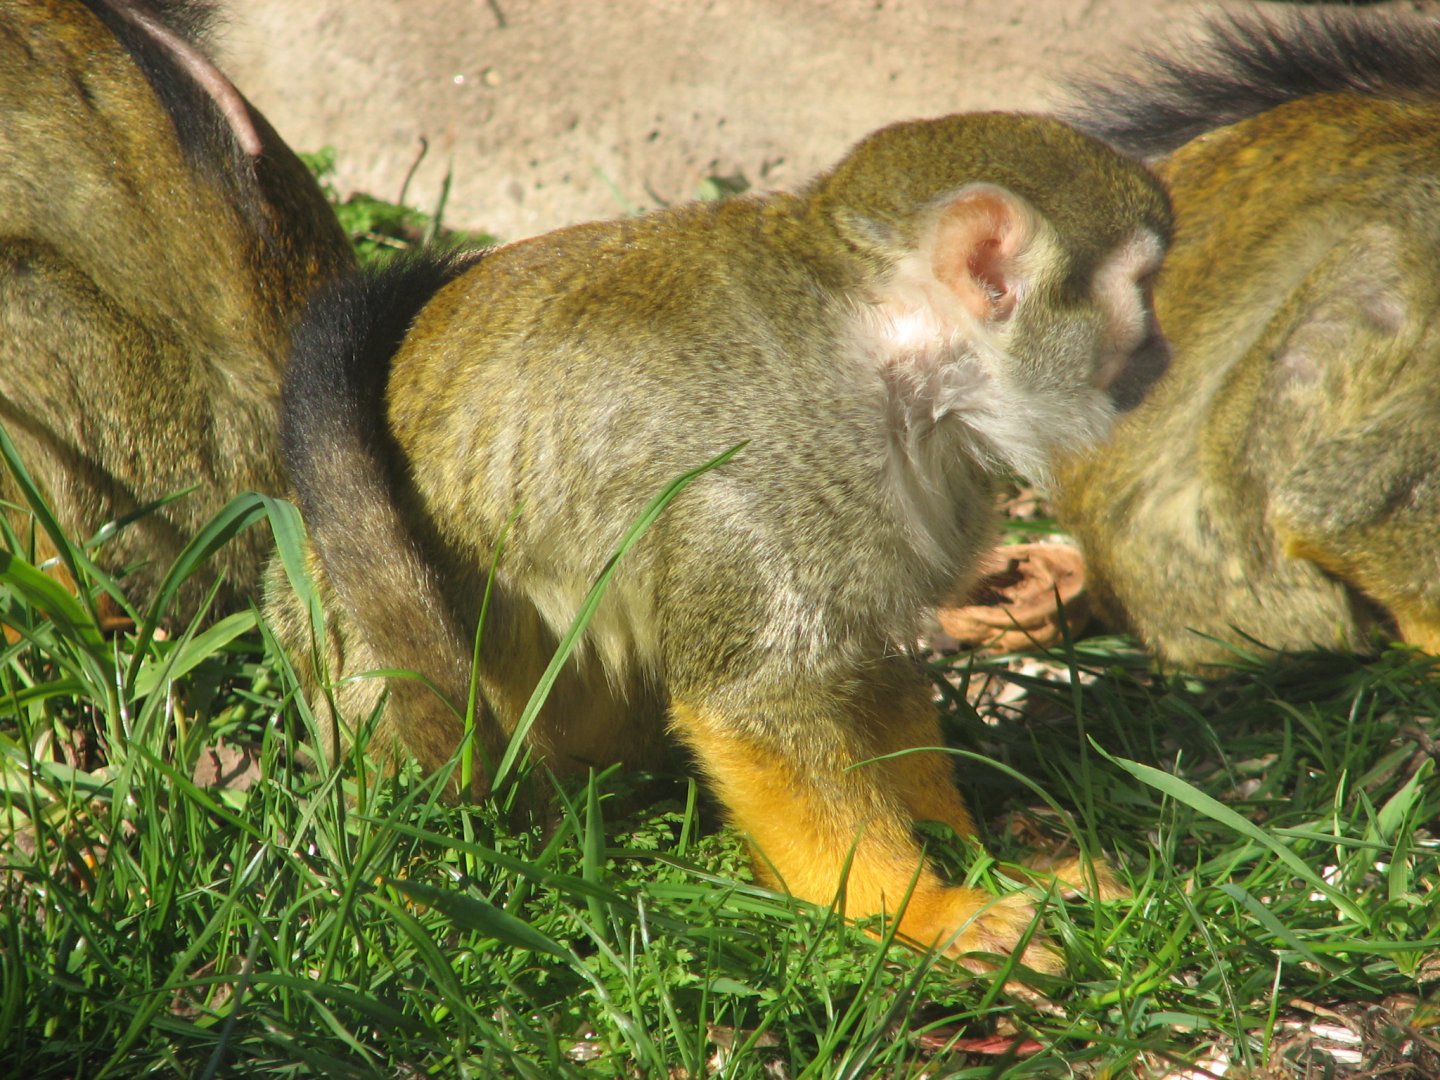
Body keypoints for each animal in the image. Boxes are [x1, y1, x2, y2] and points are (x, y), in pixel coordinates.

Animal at [268, 112, 1170, 970]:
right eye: (1142, 287)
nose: (1161, 351)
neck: (895, 361)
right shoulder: (771, 478)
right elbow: (753, 706)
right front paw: (925, 916)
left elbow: (867, 667)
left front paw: (984, 860)